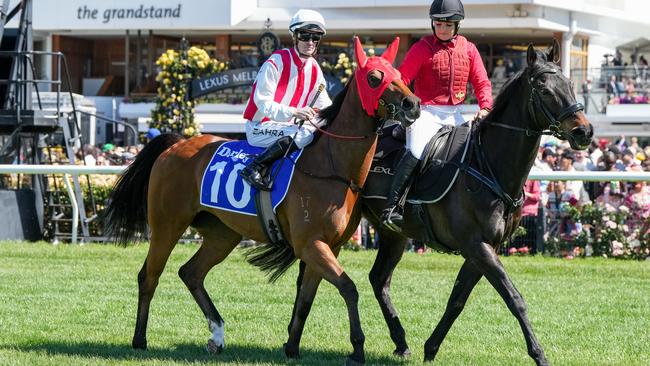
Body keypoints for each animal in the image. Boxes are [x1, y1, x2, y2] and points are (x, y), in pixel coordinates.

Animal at [103, 38, 420, 366]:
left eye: (399, 73)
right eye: (374, 78)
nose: (413, 104)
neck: (332, 167)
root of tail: (177, 143)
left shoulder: (326, 246)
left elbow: (307, 297)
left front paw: (292, 347)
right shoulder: (311, 244)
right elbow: (348, 288)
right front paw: (357, 347)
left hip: (222, 233)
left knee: (191, 272)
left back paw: (217, 334)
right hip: (167, 225)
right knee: (149, 276)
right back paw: (140, 339)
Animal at [286, 41, 588, 364]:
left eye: (570, 84)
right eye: (544, 89)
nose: (584, 131)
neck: (487, 164)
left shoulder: (483, 248)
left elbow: (457, 300)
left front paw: (431, 347)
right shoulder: (477, 245)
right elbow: (514, 297)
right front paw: (539, 353)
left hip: (392, 235)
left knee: (378, 279)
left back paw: (400, 340)